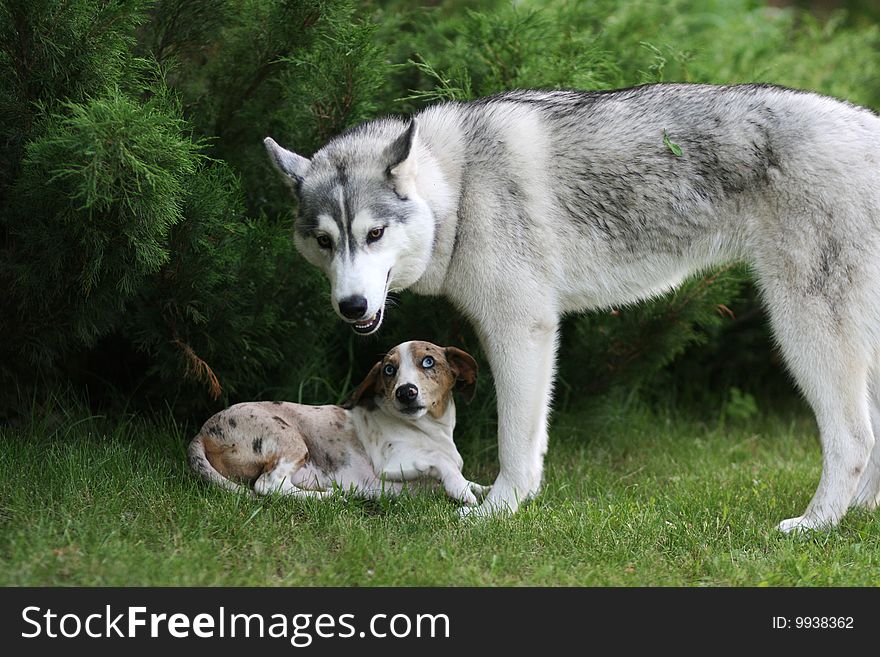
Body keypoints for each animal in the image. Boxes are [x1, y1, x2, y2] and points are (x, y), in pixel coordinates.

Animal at [187, 344, 488, 502]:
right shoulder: (391, 465)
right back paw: (329, 496)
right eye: (389, 369)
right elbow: (442, 463)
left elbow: (469, 479)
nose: (405, 392)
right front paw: (462, 492)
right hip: (289, 440)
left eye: (428, 362)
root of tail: (202, 433)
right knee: (268, 486)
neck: (428, 431)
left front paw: (482, 489)